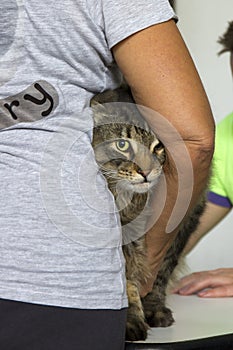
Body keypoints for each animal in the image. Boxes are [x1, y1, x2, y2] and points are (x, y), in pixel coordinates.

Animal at [90, 87, 205, 342]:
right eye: (122, 144)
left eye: (158, 145)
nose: (146, 172)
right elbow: (126, 279)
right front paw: (131, 318)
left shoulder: (184, 222)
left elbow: (161, 270)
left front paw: (153, 307)